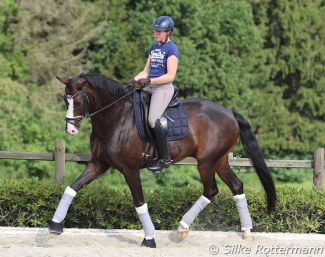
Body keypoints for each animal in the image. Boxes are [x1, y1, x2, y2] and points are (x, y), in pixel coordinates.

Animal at [49, 71, 274, 246]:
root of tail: (229, 112)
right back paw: (246, 231)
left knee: (211, 190)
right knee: (236, 186)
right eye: (65, 100)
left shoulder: (129, 169)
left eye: (78, 101)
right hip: (219, 161)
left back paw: (182, 228)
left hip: (207, 162)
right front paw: (55, 225)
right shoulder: (98, 164)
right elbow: (72, 188)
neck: (116, 117)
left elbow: (139, 202)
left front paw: (149, 238)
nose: (70, 130)